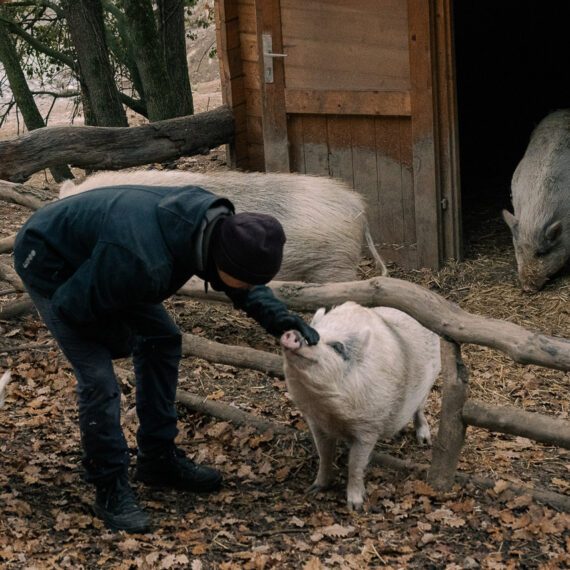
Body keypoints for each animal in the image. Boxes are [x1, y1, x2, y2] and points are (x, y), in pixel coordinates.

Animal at [280, 300, 440, 508]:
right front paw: (314, 489)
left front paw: (355, 506)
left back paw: (424, 441)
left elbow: (355, 464)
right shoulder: (316, 422)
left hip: (431, 379)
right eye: (312, 330)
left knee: (419, 409)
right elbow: (325, 454)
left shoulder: (369, 428)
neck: (330, 411)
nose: (295, 334)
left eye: (337, 347)